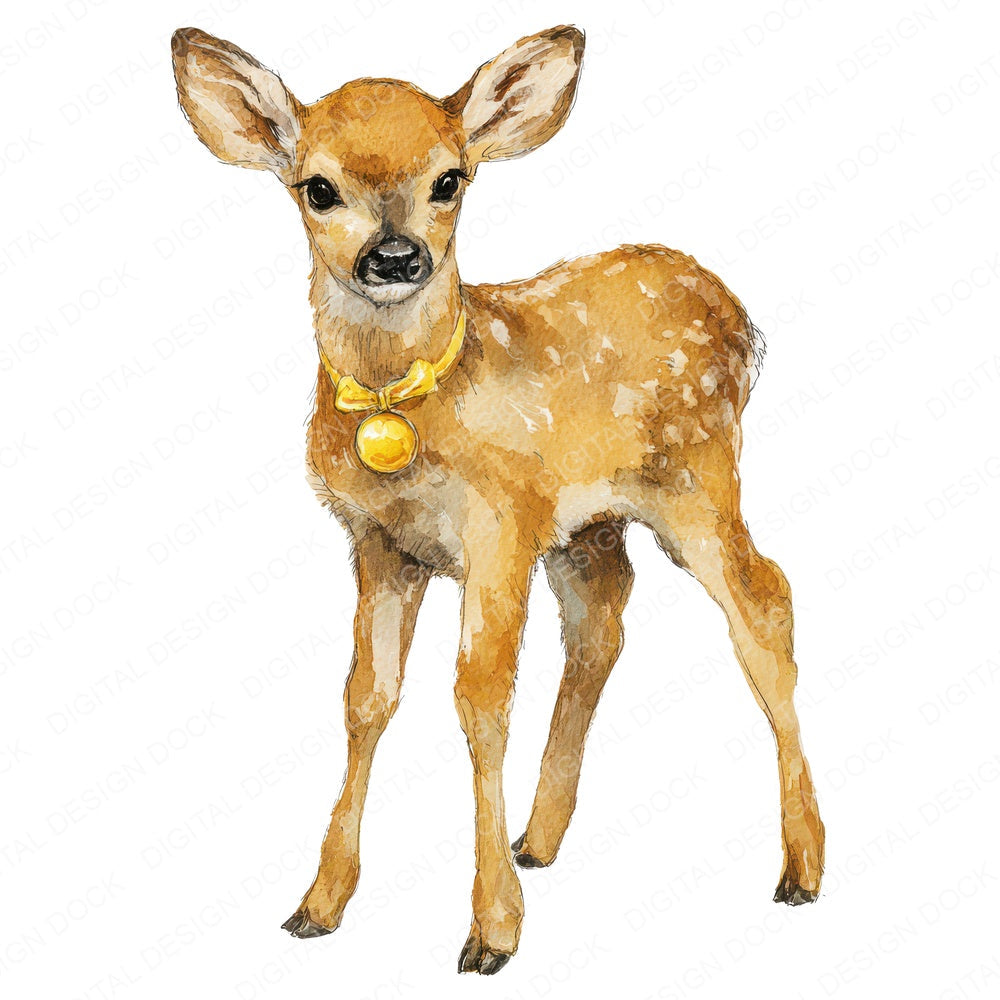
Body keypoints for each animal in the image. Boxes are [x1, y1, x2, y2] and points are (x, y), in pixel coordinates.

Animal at [171, 24, 825, 975]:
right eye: (317, 187)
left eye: (451, 178)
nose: (396, 258)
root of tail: (742, 319)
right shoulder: (379, 542)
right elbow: (366, 698)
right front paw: (318, 904)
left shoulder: (499, 524)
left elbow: (479, 698)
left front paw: (491, 931)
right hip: (590, 521)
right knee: (603, 621)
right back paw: (540, 839)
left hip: (697, 475)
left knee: (764, 600)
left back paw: (801, 866)